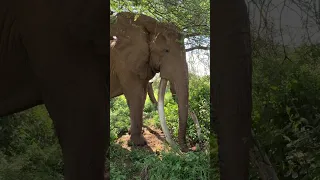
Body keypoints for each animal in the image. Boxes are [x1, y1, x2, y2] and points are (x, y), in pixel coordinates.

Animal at [110, 11, 190, 151]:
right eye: (166, 50)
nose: (185, 149)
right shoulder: (124, 64)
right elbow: (136, 95)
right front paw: (138, 144)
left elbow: (141, 97)